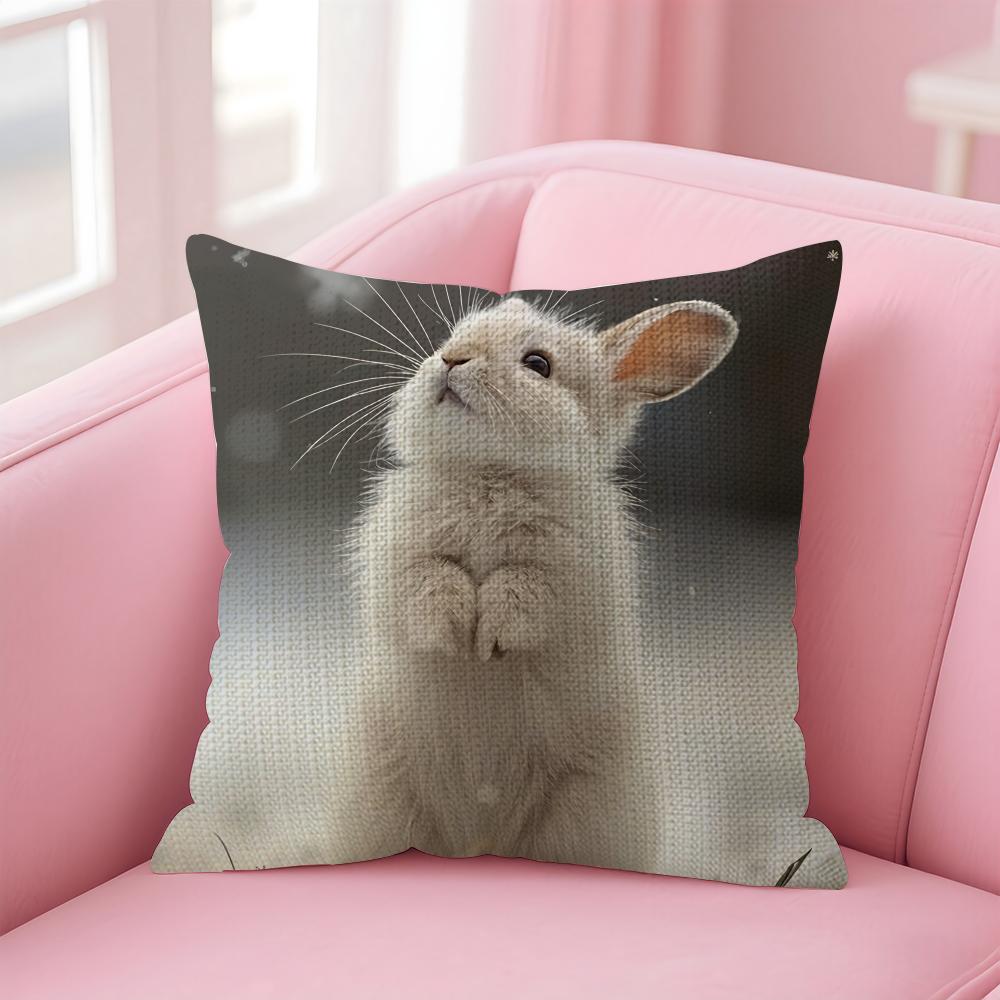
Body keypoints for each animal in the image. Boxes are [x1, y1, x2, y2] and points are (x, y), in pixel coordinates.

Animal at [347, 294, 738, 871]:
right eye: (450, 337)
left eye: (539, 364)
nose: (452, 359)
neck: (490, 473)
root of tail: (480, 840)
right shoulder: (399, 559)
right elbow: (434, 579)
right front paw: (453, 636)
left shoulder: (567, 576)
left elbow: (520, 589)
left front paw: (487, 641)